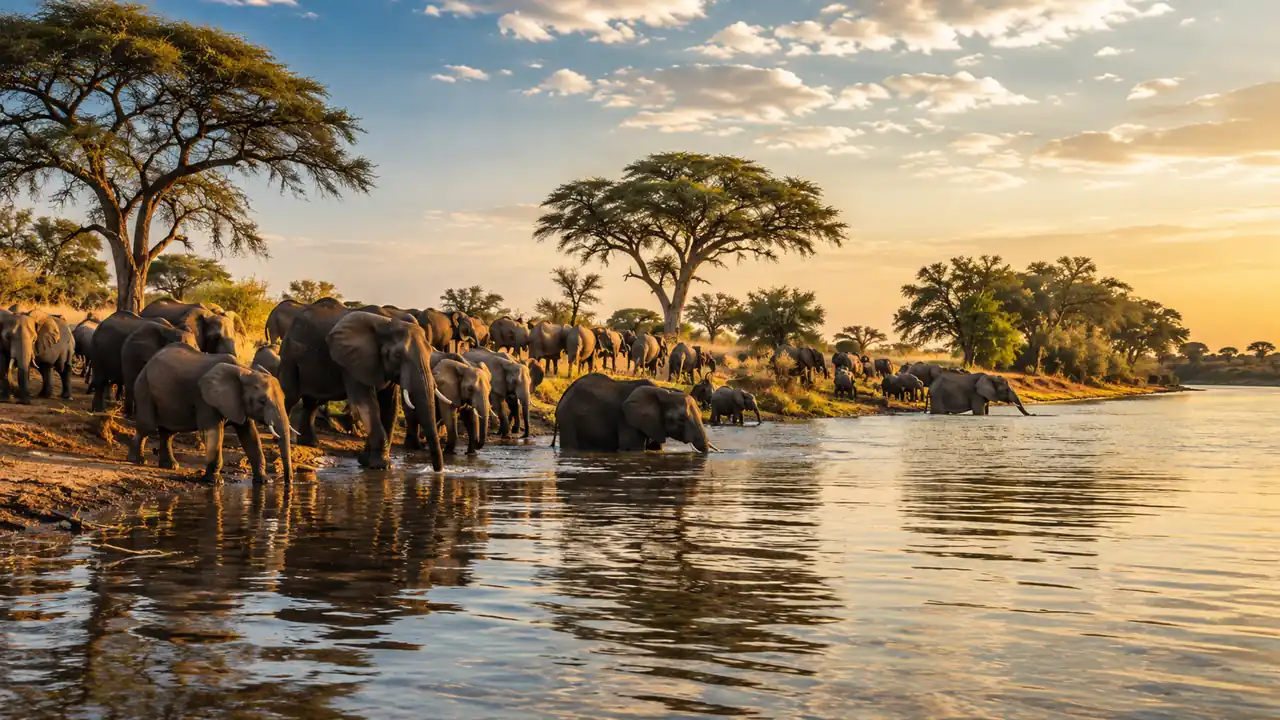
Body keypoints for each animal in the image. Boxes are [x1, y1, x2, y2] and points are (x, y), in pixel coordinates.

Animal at [128, 345, 293, 485]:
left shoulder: (238, 403)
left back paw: (171, 466)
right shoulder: (204, 399)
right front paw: (215, 482)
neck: (245, 370)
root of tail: (150, 361)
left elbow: (250, 435)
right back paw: (137, 460)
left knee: (168, 432)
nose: (288, 482)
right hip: (144, 387)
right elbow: (212, 432)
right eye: (262, 401)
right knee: (148, 427)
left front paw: (264, 481)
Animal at [277, 299, 445, 471]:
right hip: (289, 356)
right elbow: (367, 404)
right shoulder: (352, 361)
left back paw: (311, 444)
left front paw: (367, 461)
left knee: (313, 402)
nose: (437, 470)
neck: (389, 322)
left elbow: (389, 406)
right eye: (397, 355)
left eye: (430, 353)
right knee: (290, 396)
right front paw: (383, 466)